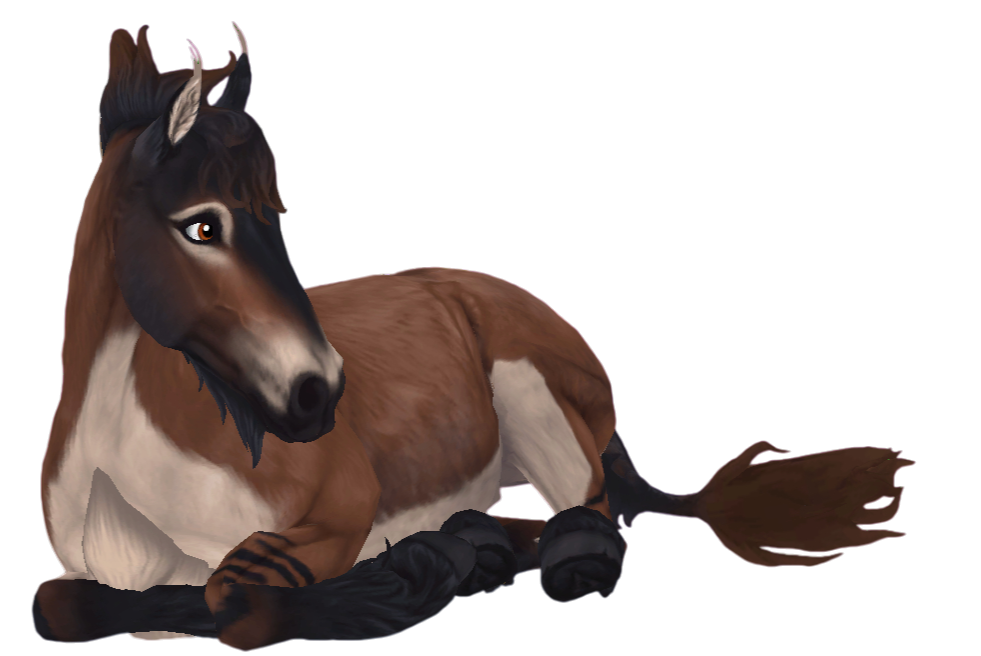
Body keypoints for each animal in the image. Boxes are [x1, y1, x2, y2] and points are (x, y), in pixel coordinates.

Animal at [33, 22, 916, 650]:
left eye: (275, 220)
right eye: (202, 226)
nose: (321, 393)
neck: (128, 459)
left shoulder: (335, 512)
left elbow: (234, 599)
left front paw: (407, 579)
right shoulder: (86, 573)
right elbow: (61, 603)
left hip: (535, 396)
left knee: (589, 520)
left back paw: (495, 554)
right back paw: (470, 544)